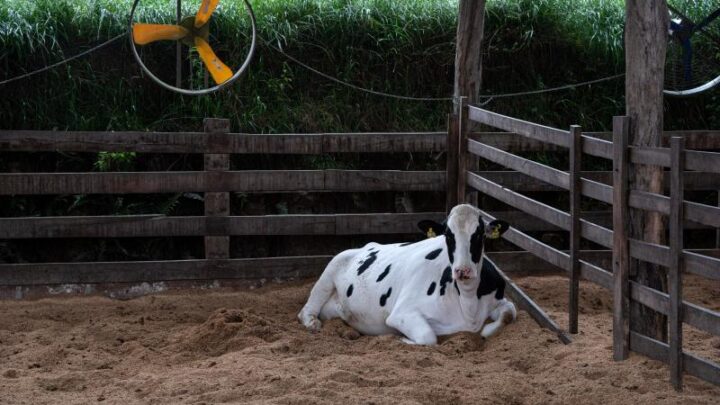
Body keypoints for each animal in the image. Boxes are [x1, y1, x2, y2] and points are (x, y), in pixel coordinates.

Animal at [298, 205, 516, 344]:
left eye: (480, 234)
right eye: (448, 235)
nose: (463, 270)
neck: (468, 302)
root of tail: (366, 245)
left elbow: (509, 312)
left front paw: (487, 330)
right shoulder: (402, 313)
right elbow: (428, 337)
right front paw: (401, 339)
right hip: (329, 271)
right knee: (306, 309)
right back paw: (312, 323)